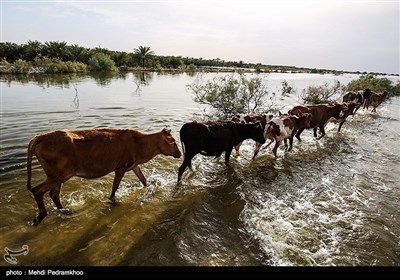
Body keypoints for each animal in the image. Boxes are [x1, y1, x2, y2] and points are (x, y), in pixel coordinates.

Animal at [25, 127, 180, 225]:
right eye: (173, 142)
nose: (179, 153)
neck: (140, 145)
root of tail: (40, 137)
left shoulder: (134, 165)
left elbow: (143, 179)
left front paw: (151, 190)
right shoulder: (120, 168)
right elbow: (115, 186)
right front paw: (112, 200)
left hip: (58, 176)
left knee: (53, 193)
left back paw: (66, 211)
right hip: (59, 175)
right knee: (37, 190)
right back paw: (41, 216)